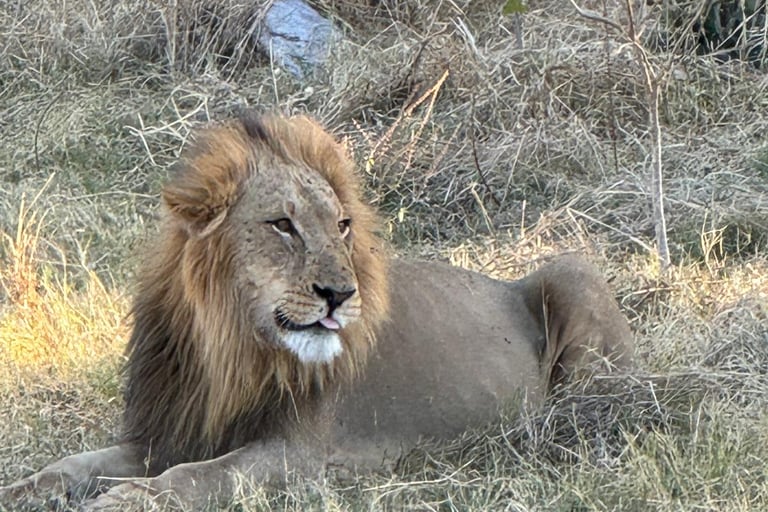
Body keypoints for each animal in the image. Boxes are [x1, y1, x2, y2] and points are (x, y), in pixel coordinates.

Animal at [0, 112, 633, 510]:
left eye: (343, 226)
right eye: (283, 225)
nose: (341, 294)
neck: (228, 347)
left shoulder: (301, 455)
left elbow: (200, 476)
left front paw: (128, 499)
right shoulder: (169, 430)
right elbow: (73, 464)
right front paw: (22, 489)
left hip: (572, 272)